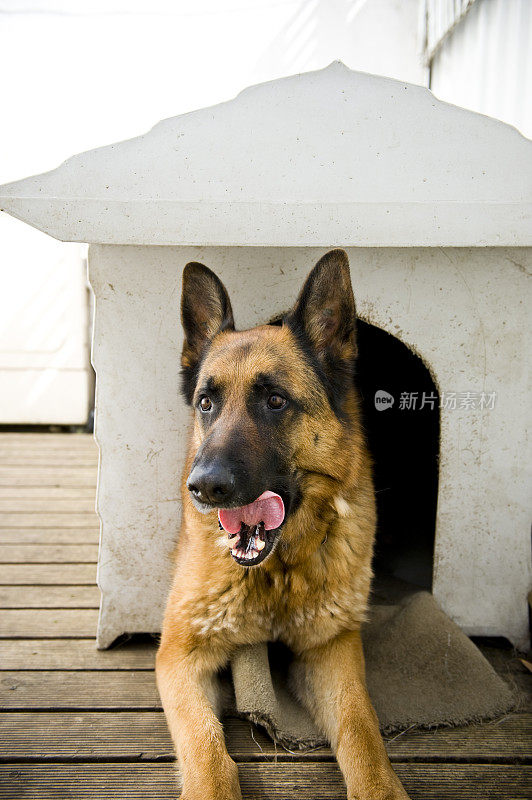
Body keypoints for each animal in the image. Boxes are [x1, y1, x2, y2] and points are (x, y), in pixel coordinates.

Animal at [156, 252, 410, 800]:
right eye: (206, 403)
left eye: (275, 401)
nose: (203, 487)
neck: (278, 574)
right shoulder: (180, 656)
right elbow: (207, 749)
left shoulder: (331, 649)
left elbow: (362, 731)